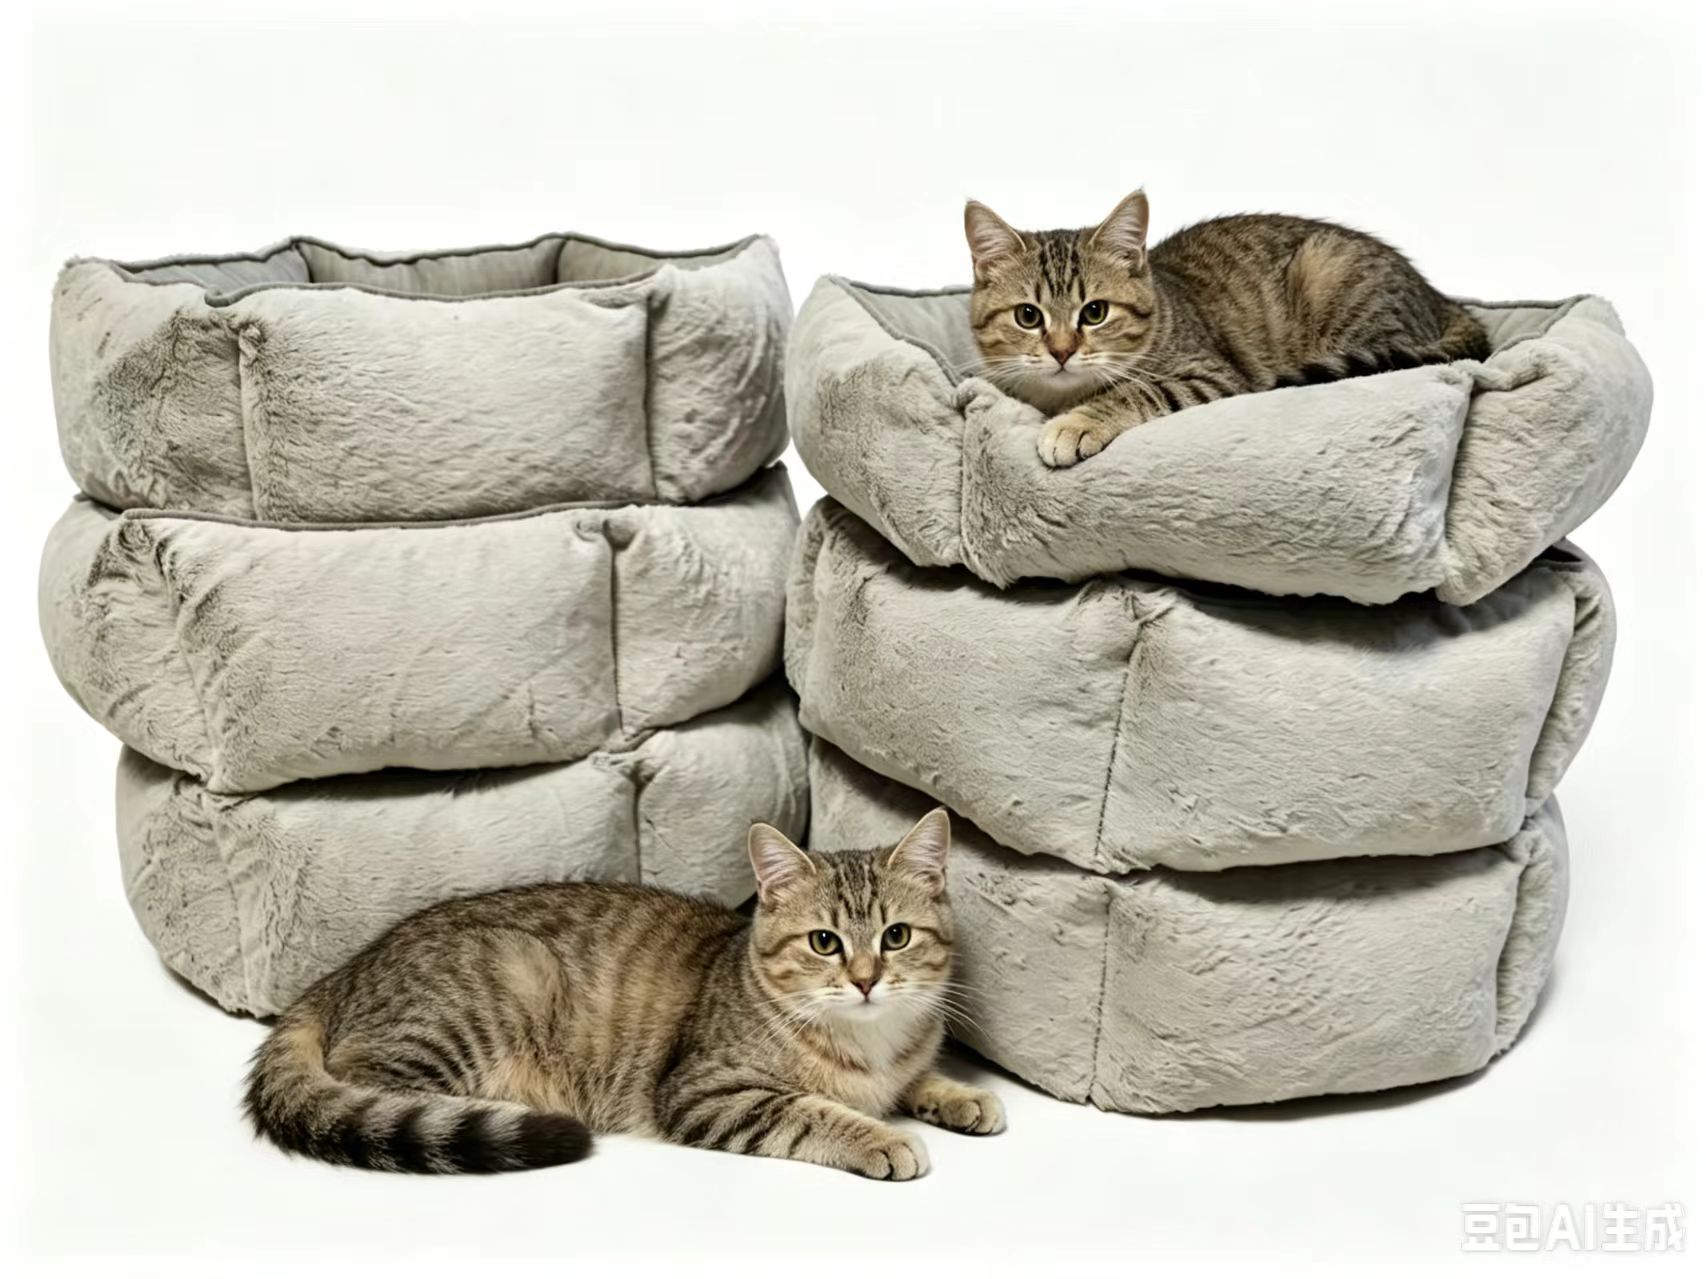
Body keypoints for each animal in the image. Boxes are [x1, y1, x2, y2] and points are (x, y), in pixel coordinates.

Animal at [243, 808, 1003, 1178]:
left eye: (896, 936)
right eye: (824, 942)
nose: (866, 979)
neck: (868, 1043)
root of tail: (344, 971)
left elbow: (915, 1079)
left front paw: (960, 1095)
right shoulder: (706, 1092)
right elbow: (814, 1111)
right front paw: (880, 1136)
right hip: (488, 992)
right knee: (369, 1082)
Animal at [965, 190, 1491, 467]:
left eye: (1094, 312)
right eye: (1028, 316)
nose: (1061, 351)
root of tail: (1441, 299)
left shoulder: (1212, 374)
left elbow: (1136, 391)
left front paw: (1076, 423)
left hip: (1333, 275)